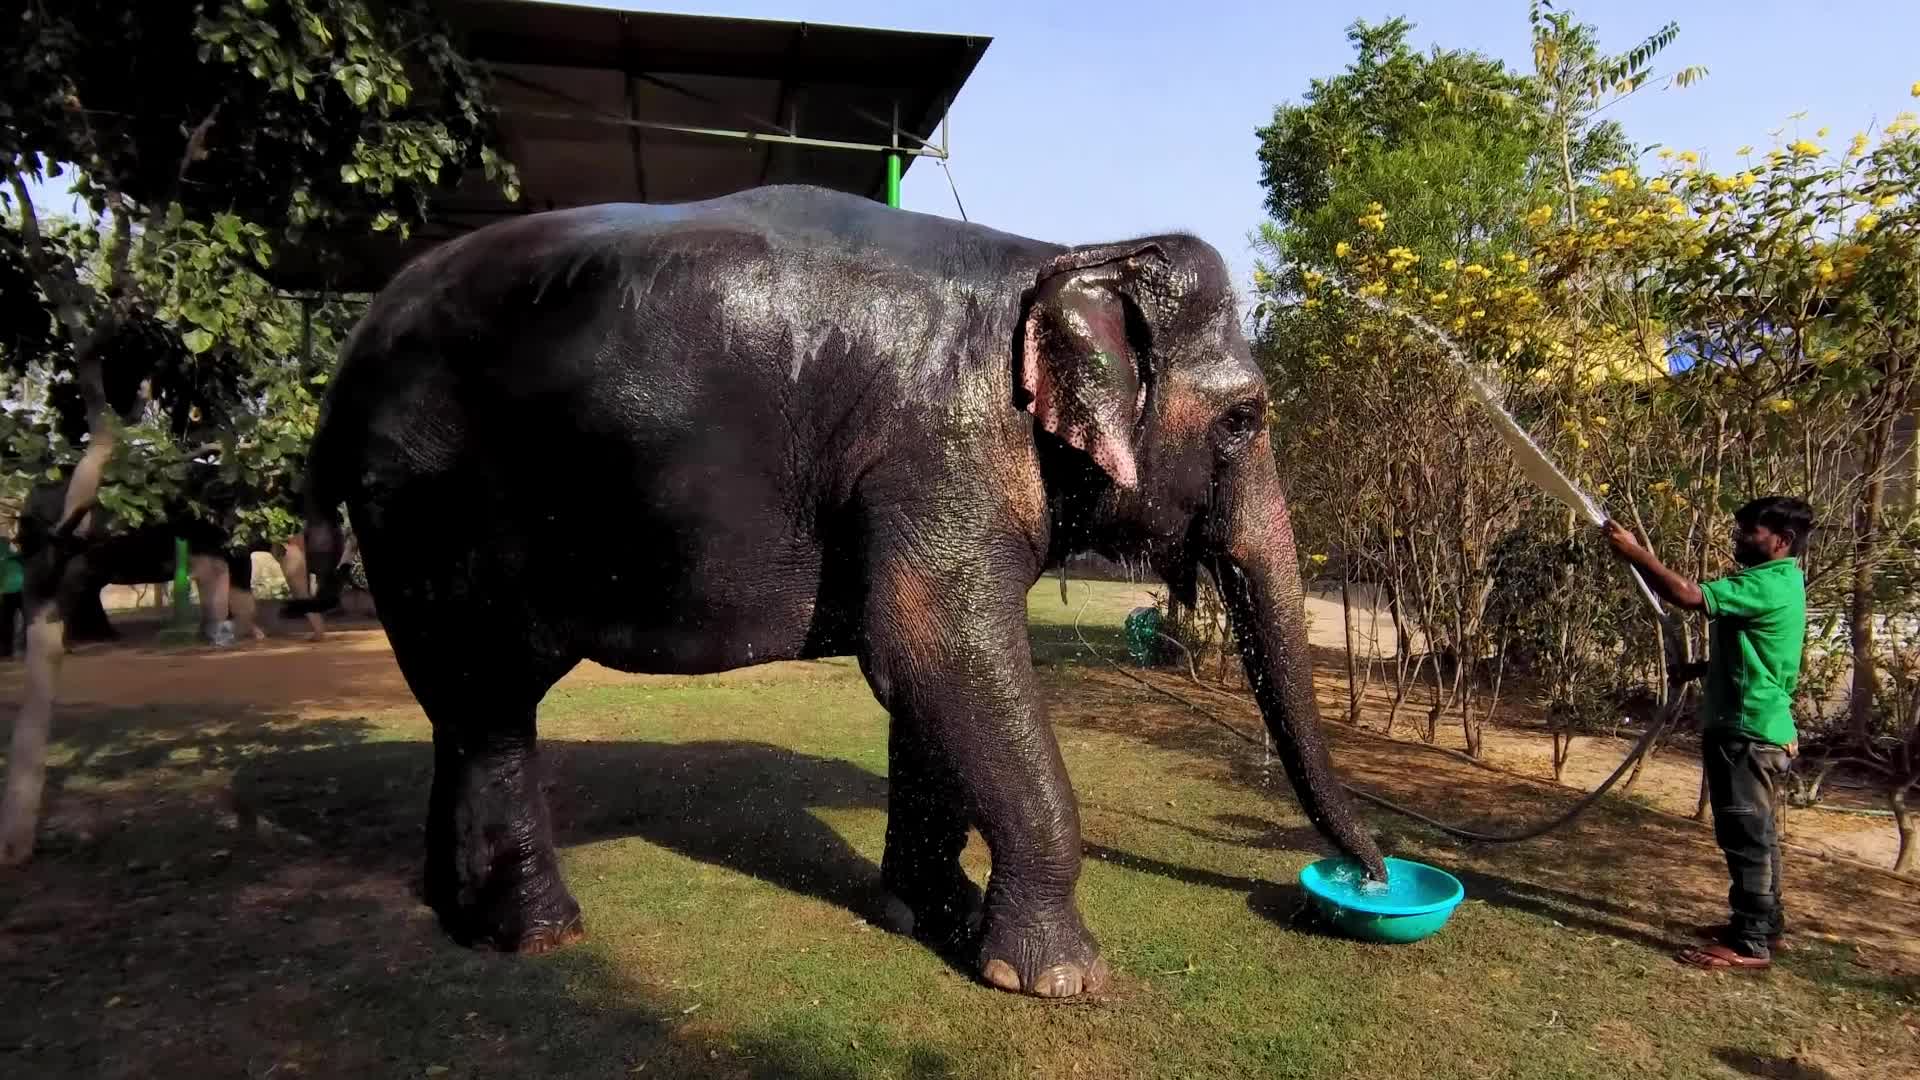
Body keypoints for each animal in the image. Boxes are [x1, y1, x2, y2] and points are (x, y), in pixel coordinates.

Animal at [288, 184, 1384, 998]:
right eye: (1245, 419)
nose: (1369, 876)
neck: (1066, 253)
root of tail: (348, 356)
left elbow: (932, 681)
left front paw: (933, 917)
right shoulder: (936, 448)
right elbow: (935, 651)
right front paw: (1055, 981)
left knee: (459, 708)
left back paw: (453, 911)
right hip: (438, 503)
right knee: (494, 704)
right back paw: (538, 935)